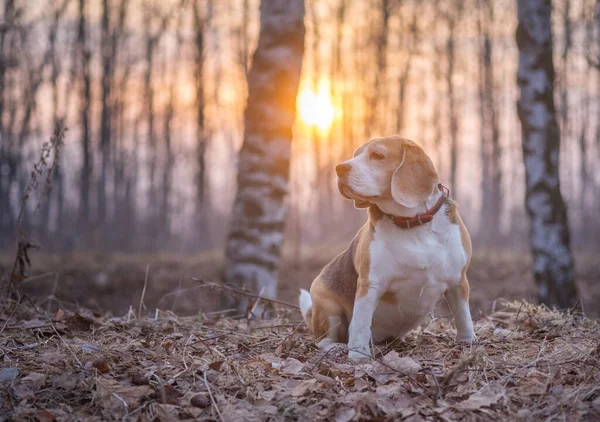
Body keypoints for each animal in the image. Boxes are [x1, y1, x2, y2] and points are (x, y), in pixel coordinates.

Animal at [298, 137, 476, 362]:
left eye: (377, 155)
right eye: (355, 154)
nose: (339, 168)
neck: (412, 224)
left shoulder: (458, 280)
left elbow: (463, 316)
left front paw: (468, 342)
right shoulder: (370, 284)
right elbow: (361, 324)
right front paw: (358, 355)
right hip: (328, 308)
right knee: (322, 341)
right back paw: (338, 347)